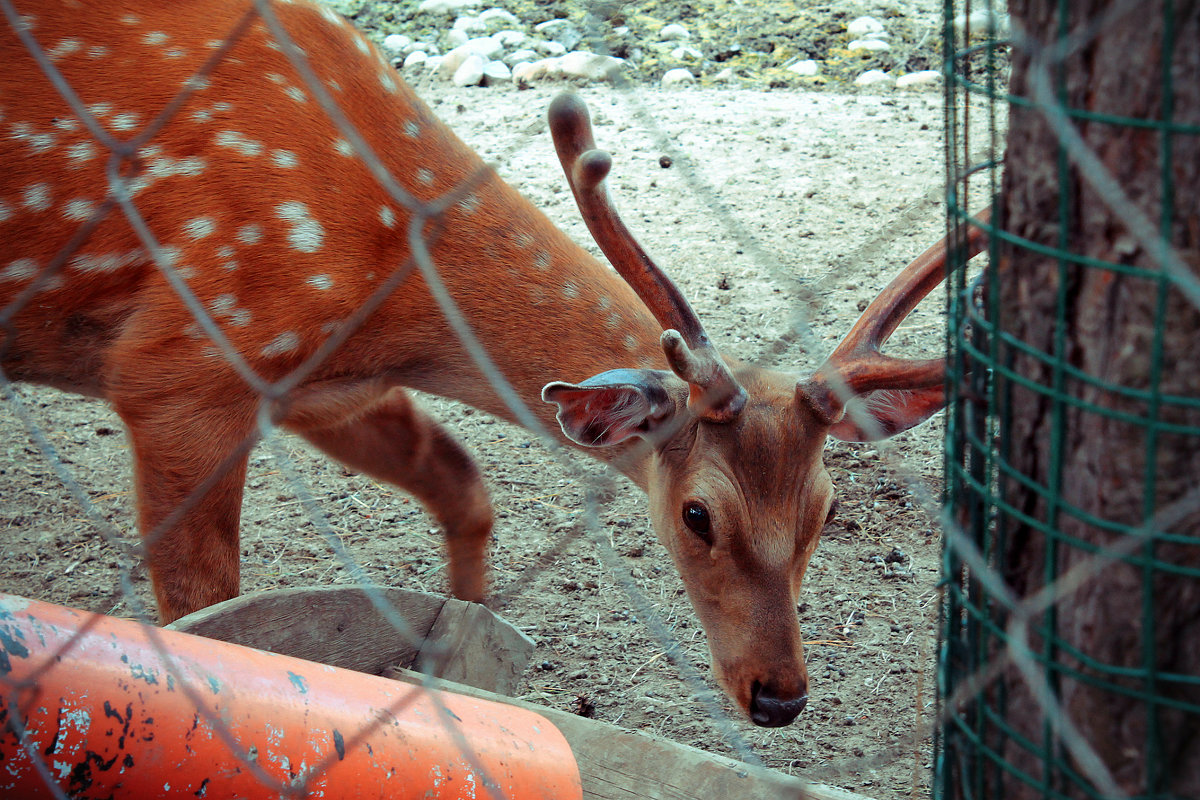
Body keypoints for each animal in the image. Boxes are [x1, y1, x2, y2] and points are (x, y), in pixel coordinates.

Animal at [0, 0, 984, 729]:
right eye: (697, 514)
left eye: (826, 509)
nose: (779, 696)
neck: (389, 281)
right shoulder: (184, 364)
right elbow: (205, 613)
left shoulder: (324, 387)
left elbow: (465, 487)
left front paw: (458, 667)